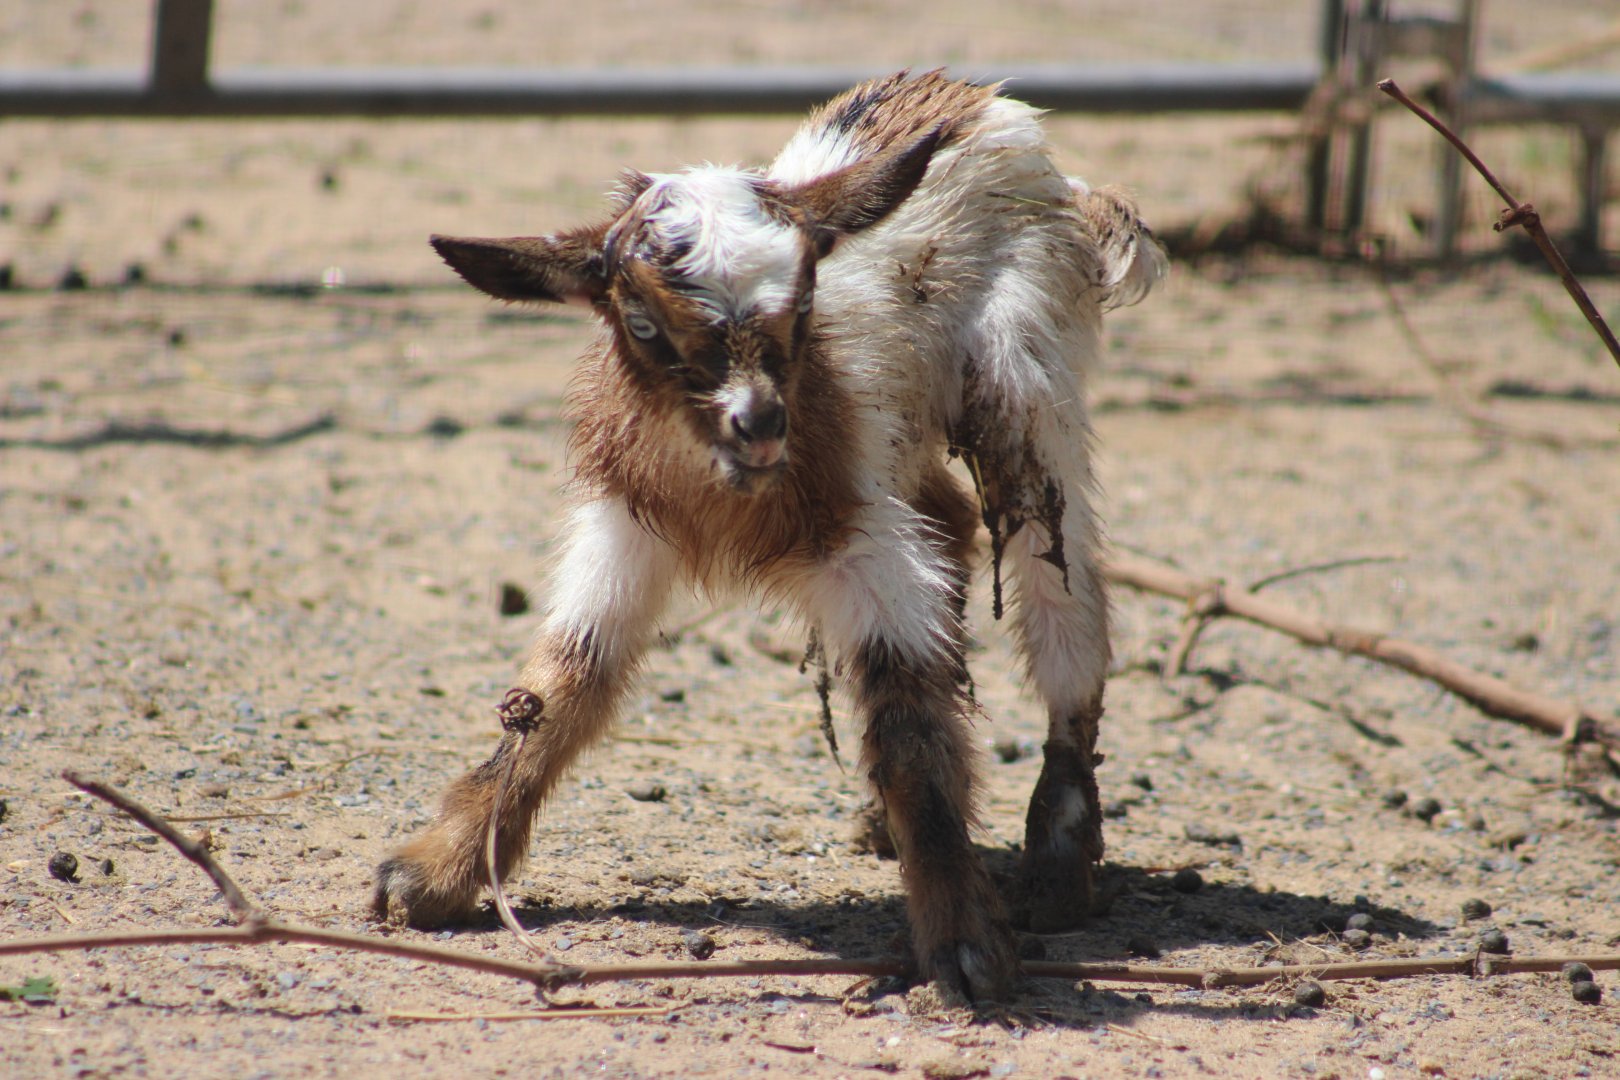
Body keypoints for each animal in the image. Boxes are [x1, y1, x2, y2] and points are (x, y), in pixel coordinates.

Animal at [374, 69, 1166, 1002]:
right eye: (642, 323)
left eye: (806, 300)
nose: (758, 425)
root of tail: (984, 103)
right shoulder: (627, 526)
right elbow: (563, 681)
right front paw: (438, 870)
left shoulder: (864, 541)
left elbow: (907, 721)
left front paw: (965, 946)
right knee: (950, 523)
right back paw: (885, 821)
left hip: (1027, 379)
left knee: (1060, 590)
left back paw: (1056, 869)